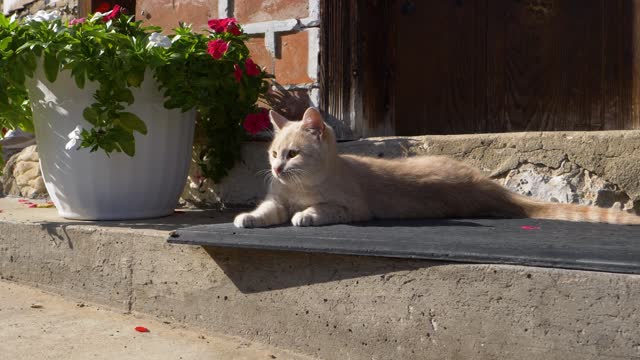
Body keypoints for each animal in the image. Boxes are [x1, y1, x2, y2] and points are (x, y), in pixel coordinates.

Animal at [234, 105, 640, 228]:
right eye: (273, 154)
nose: (277, 170)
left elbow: (320, 209)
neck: (300, 187)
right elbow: (267, 210)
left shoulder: (353, 207)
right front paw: (248, 218)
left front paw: (306, 215)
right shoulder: (277, 199)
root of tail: (486, 185)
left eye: (292, 154)